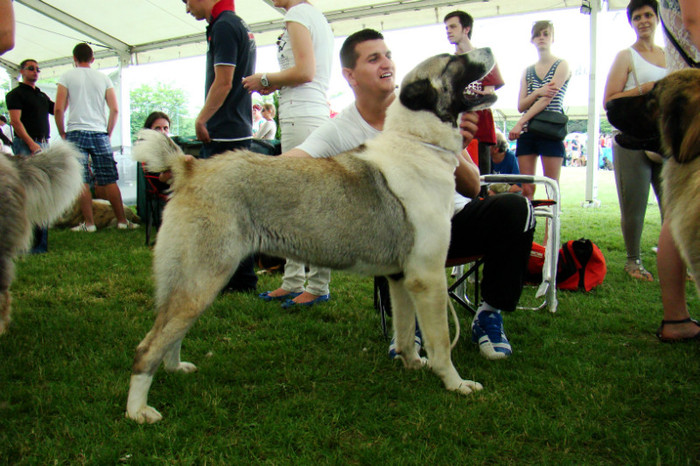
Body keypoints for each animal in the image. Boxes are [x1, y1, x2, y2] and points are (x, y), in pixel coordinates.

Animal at [127, 49, 498, 424]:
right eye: (451, 60)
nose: (487, 50)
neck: (419, 141)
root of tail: (191, 167)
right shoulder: (428, 278)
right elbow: (440, 341)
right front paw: (455, 383)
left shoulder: (401, 278)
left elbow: (406, 332)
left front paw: (411, 364)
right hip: (203, 280)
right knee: (146, 346)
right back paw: (138, 410)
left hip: (191, 284)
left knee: (170, 333)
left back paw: (174, 368)